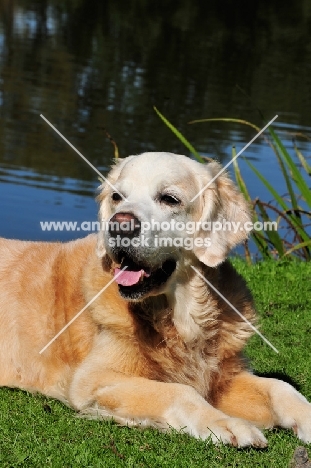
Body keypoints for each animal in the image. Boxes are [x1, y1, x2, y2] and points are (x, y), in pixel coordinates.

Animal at [0, 153, 311, 446]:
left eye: (169, 199)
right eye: (117, 197)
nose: (120, 226)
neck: (179, 320)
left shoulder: (224, 378)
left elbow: (279, 386)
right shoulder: (92, 379)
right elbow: (180, 390)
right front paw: (228, 424)